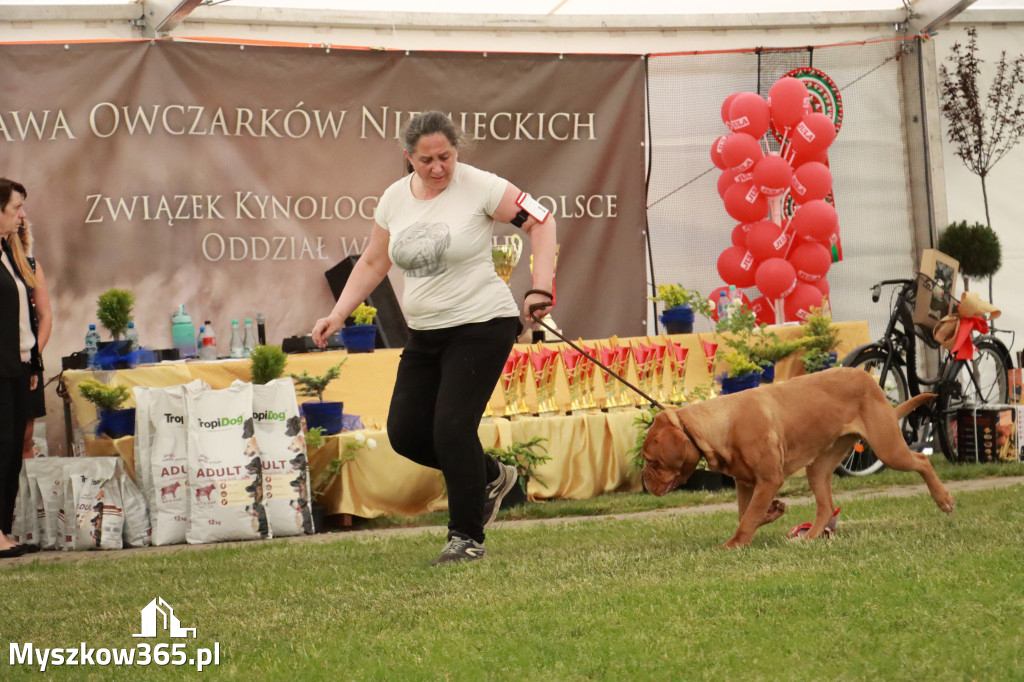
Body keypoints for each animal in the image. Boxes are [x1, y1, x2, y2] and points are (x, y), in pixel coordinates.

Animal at [643, 366, 954, 548]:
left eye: (650, 460)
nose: (644, 482)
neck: (721, 424)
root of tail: (870, 380)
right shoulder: (745, 483)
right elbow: (747, 514)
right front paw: (771, 513)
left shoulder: (769, 480)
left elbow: (748, 517)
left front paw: (734, 545)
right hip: (819, 467)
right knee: (826, 506)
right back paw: (812, 537)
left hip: (888, 448)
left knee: (922, 461)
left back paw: (944, 499)